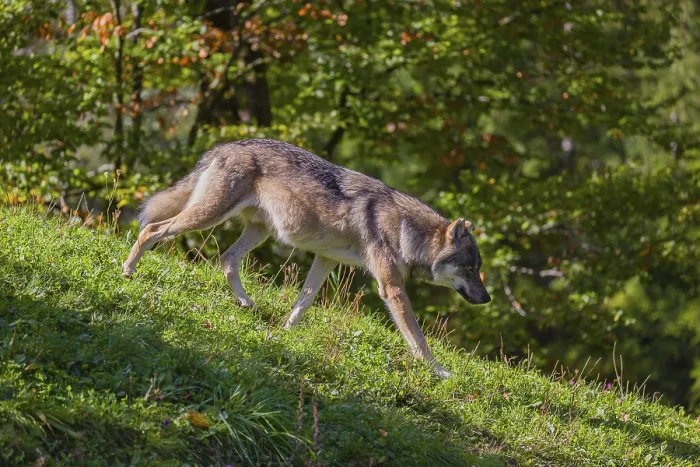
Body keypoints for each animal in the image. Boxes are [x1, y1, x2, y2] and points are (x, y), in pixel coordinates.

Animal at [122, 139, 491, 377]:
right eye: (470, 269)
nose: (487, 299)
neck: (404, 229)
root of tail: (223, 147)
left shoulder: (325, 261)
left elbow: (303, 303)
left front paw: (284, 333)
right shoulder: (391, 288)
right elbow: (418, 338)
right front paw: (438, 370)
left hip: (258, 231)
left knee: (226, 259)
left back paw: (245, 303)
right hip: (208, 217)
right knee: (151, 229)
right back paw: (127, 270)